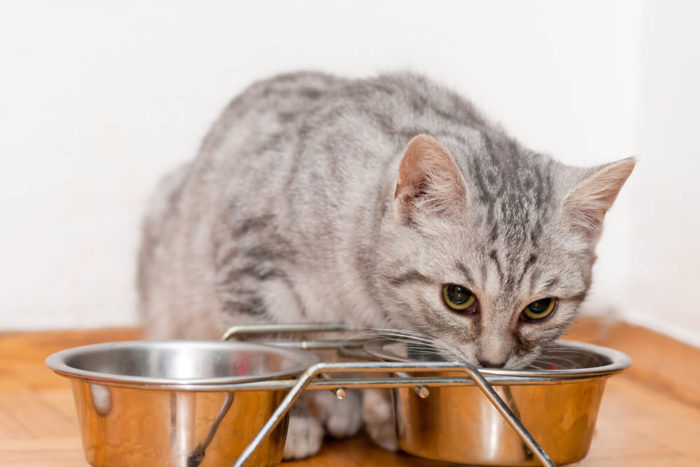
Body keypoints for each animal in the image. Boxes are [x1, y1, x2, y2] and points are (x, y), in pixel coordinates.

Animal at [137, 71, 636, 458]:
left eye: (539, 309)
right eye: (459, 297)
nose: (493, 361)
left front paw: (383, 418)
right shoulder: (251, 264)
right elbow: (275, 353)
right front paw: (293, 425)